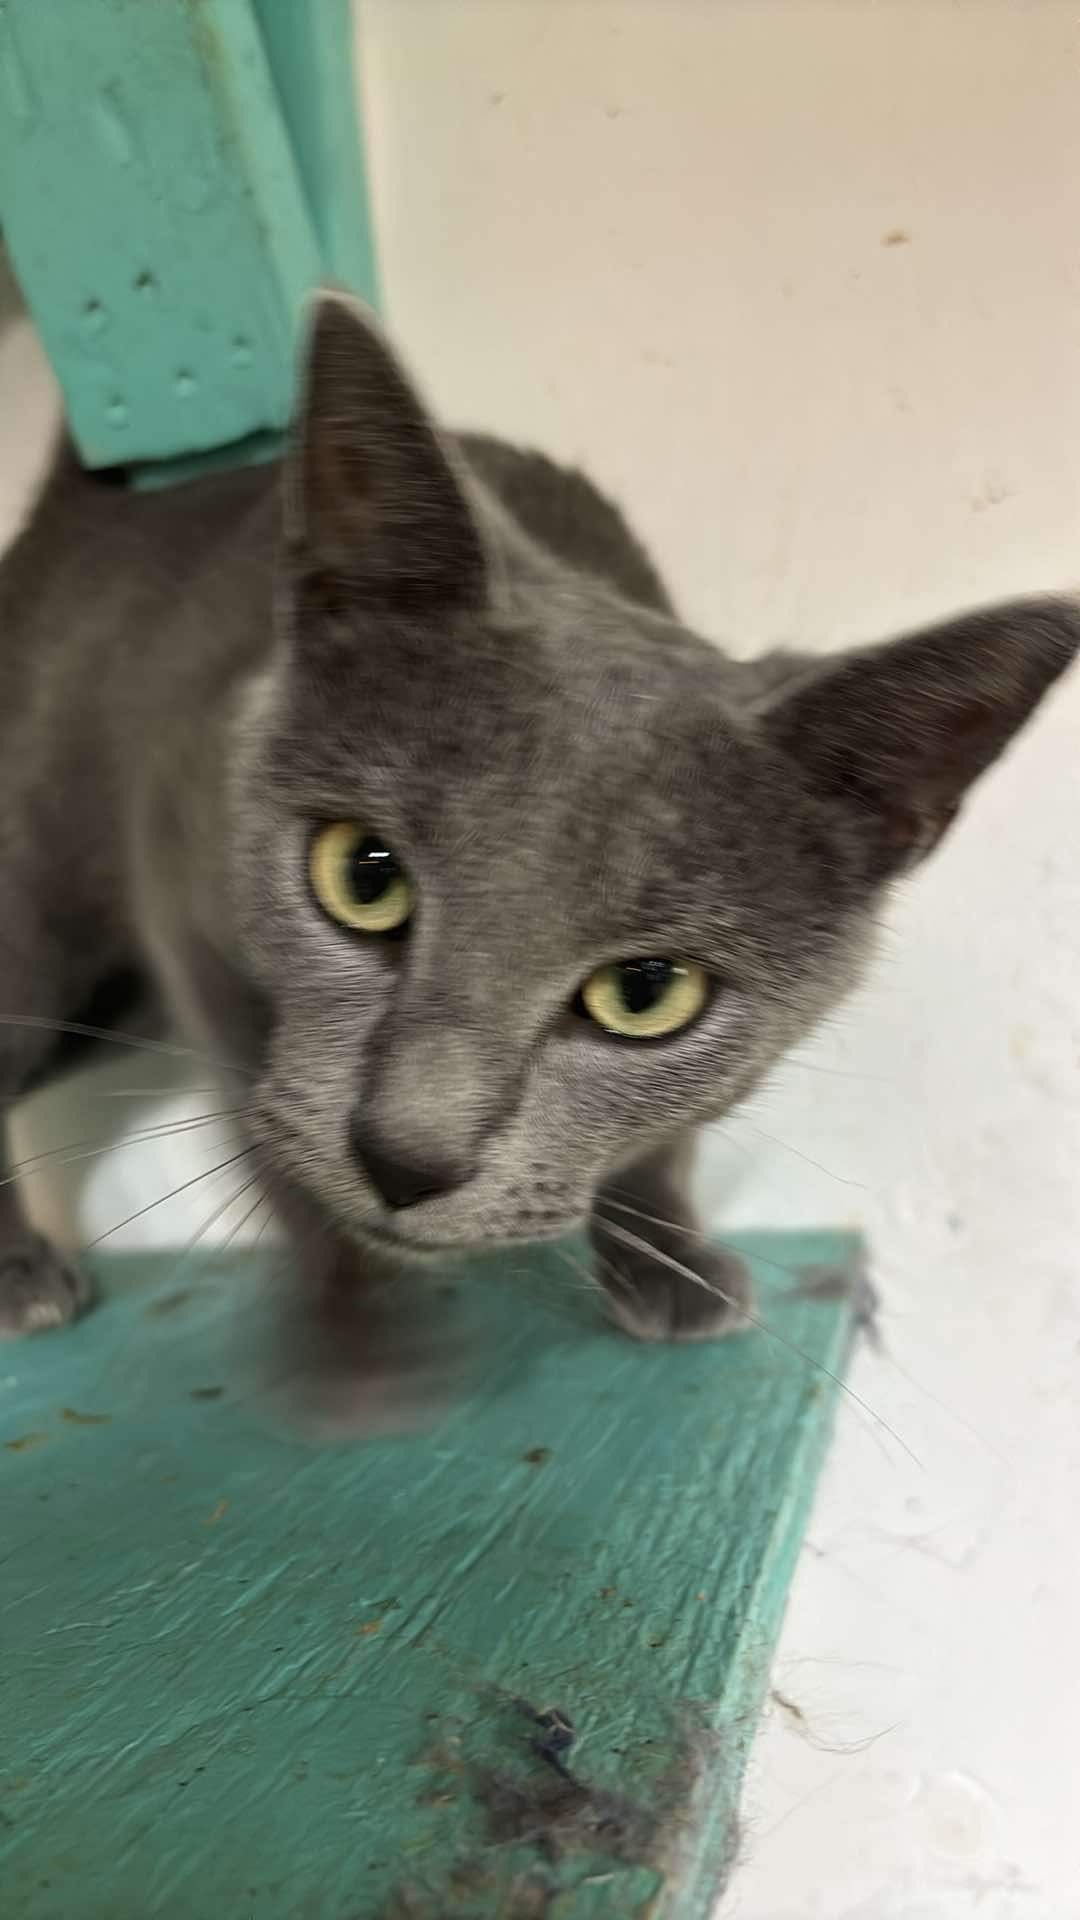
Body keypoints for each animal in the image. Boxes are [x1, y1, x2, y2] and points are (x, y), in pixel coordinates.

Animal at [0, 295, 1068, 1351]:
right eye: (363, 877)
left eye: (646, 991)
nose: (406, 1159)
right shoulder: (176, 867)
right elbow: (253, 1099)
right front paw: (353, 1320)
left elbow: (668, 1134)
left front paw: (666, 1258)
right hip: (51, 914)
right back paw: (26, 1276)